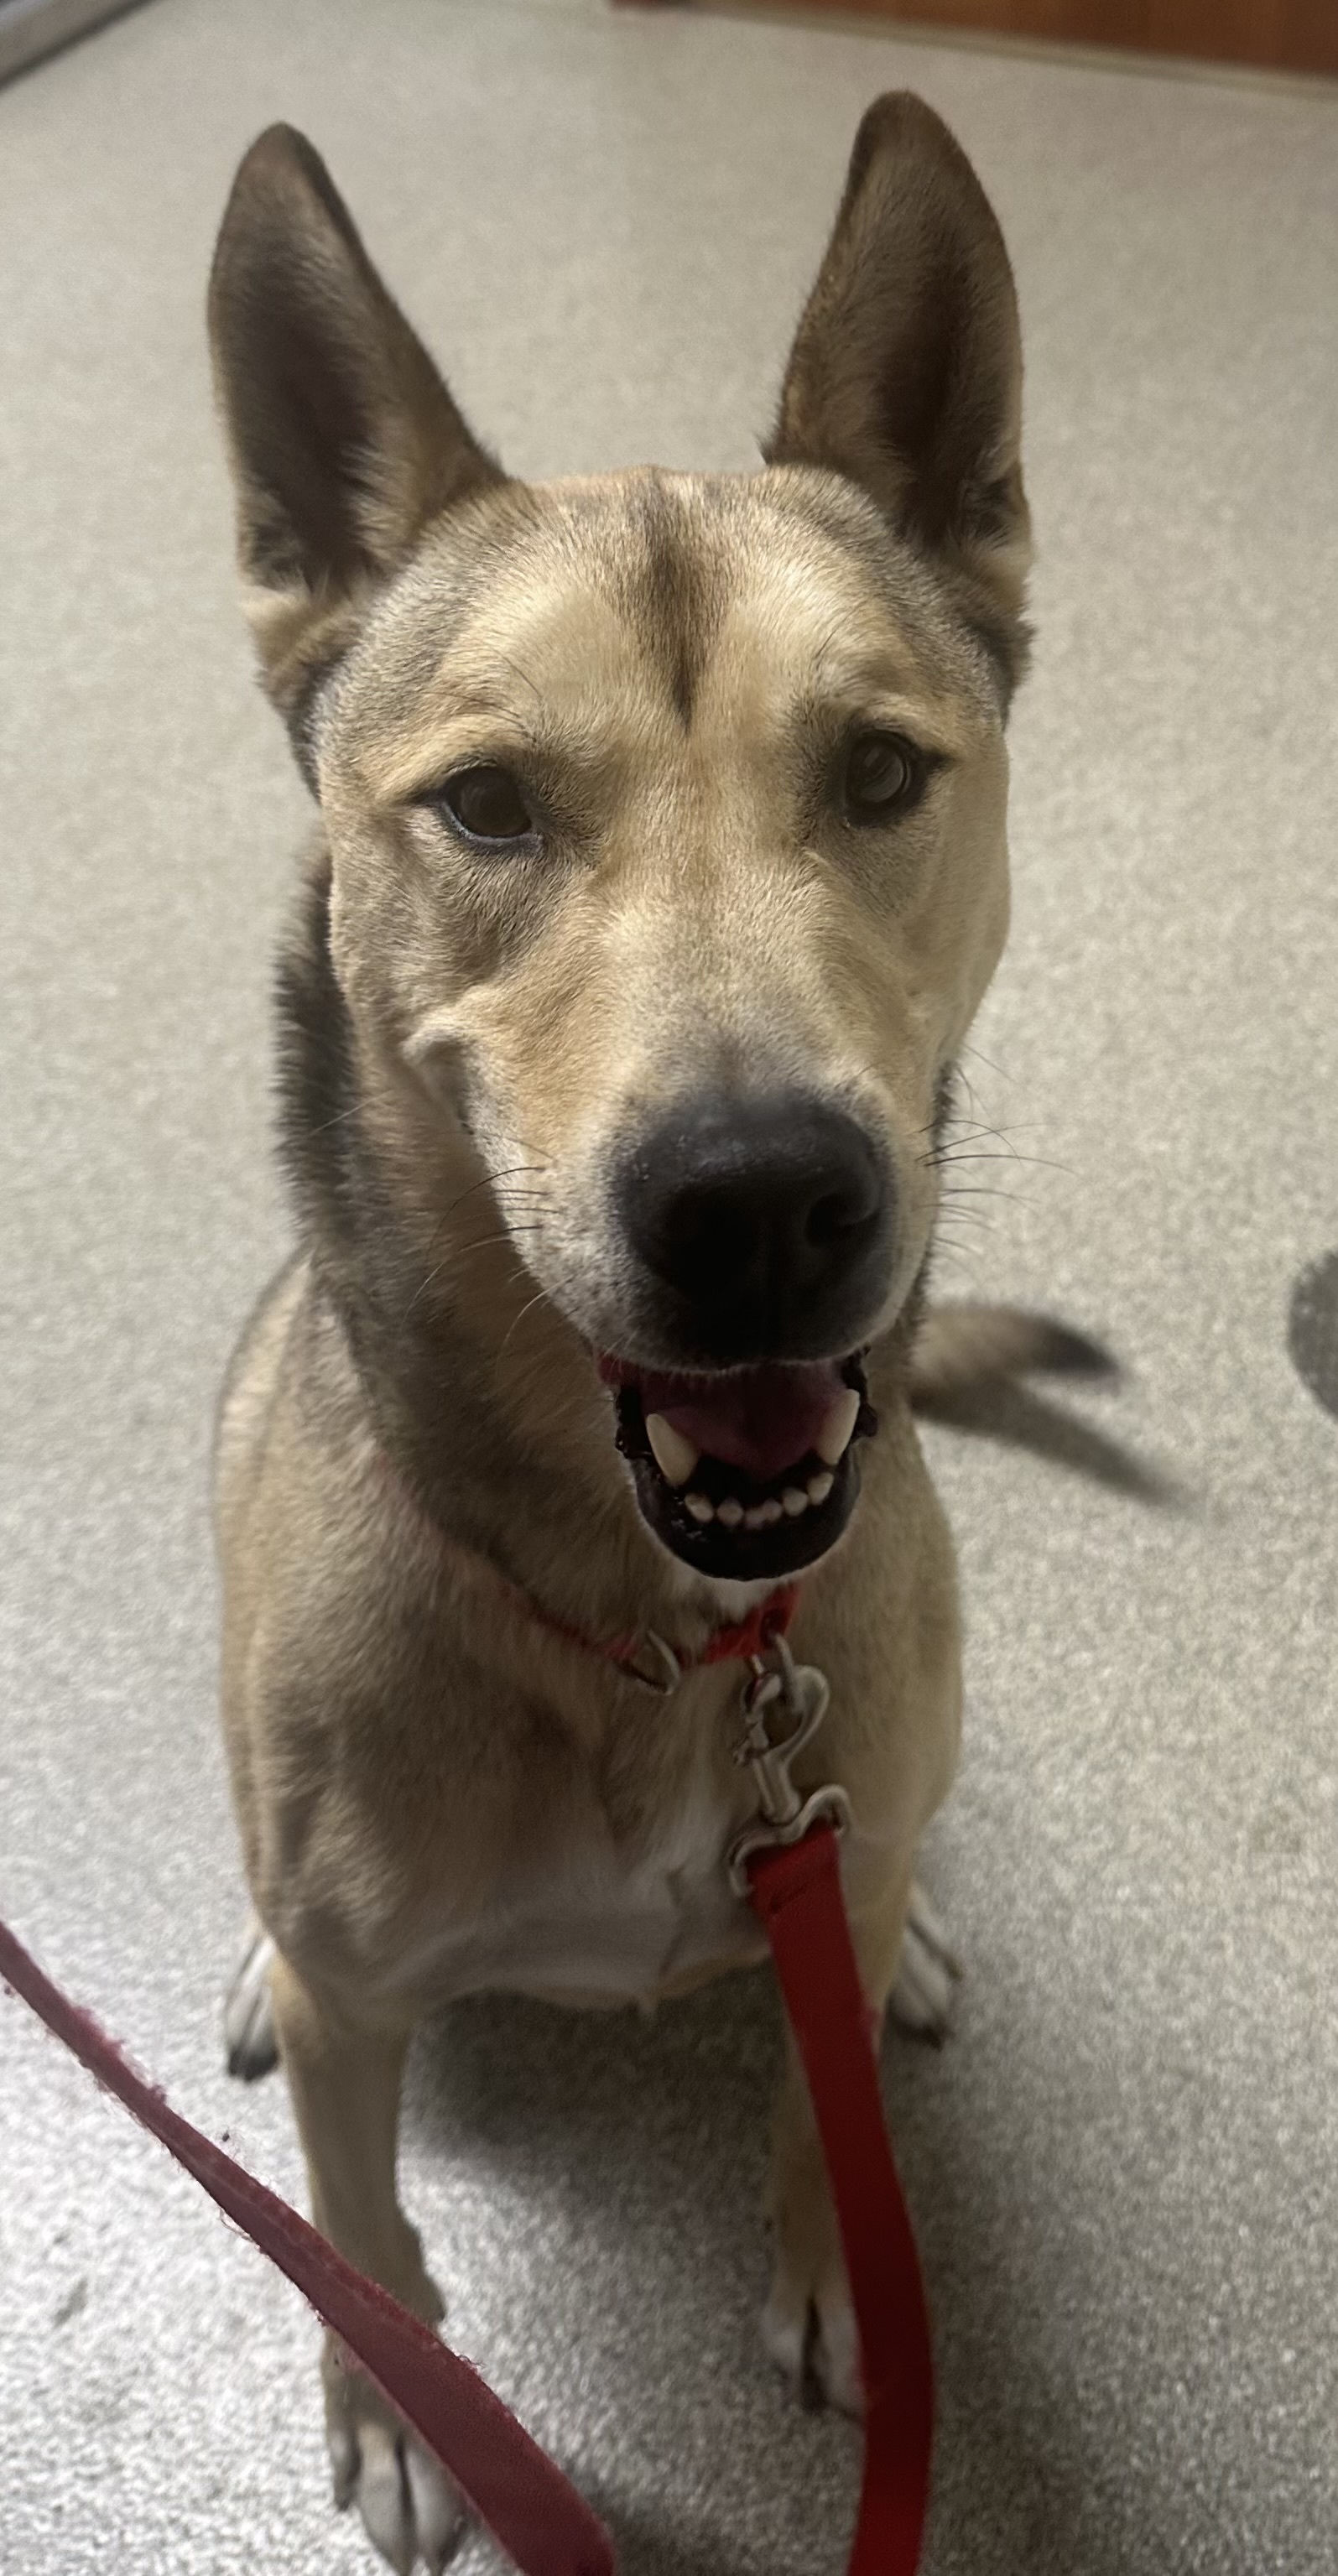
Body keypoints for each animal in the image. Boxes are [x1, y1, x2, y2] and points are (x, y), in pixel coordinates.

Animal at [208, 95, 1062, 2555]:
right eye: (487, 802)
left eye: (877, 770)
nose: (762, 1200)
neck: (644, 1624)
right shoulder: (361, 2008)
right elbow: (358, 2214)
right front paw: (403, 2399)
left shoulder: (823, 1843)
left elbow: (814, 2070)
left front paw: (852, 2272)